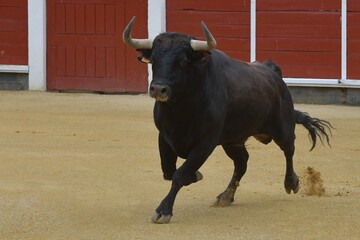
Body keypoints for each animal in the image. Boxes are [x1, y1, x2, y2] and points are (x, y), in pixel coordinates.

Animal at [124, 16, 332, 223]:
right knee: (242, 163)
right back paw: (226, 196)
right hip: (232, 141)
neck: (180, 109)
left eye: (183, 61)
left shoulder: (205, 143)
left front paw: (163, 210)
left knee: (289, 149)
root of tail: (272, 72)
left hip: (283, 127)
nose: (158, 89)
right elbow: (169, 171)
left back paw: (291, 182)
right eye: (153, 60)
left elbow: (180, 174)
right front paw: (195, 175)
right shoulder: (165, 137)